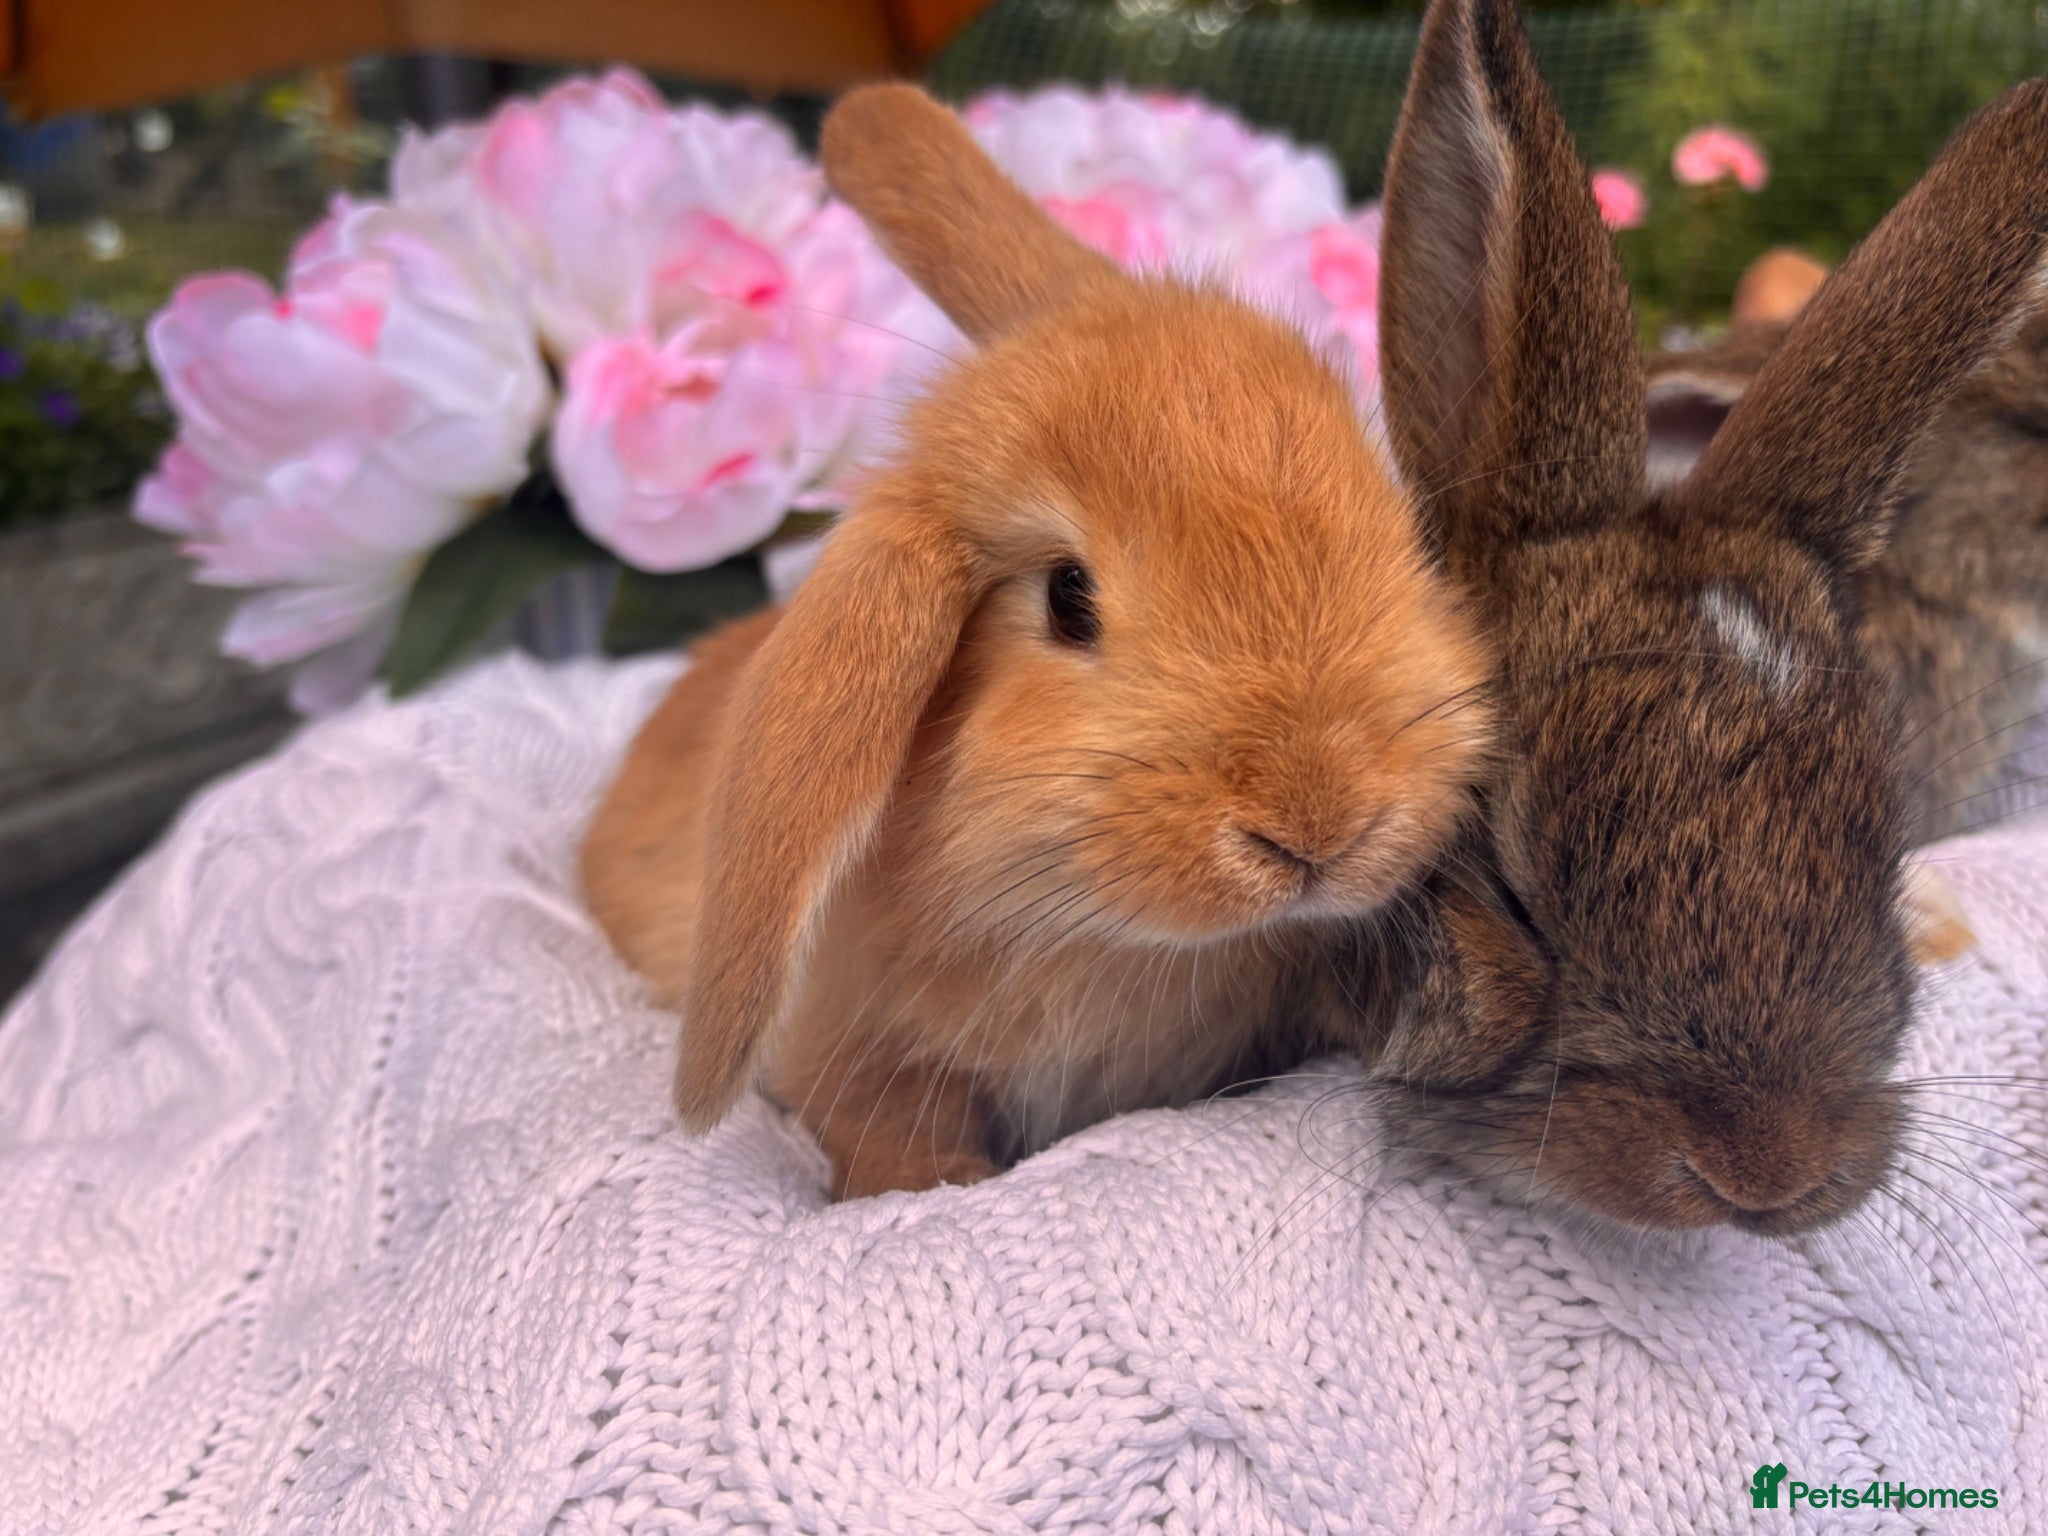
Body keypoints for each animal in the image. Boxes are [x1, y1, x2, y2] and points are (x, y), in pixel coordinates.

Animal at [580, 83, 1495, 1198]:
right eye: (1067, 596)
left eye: (1400, 530)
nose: (1318, 823)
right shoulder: (862, 1057)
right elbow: (888, 1124)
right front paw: (930, 1185)